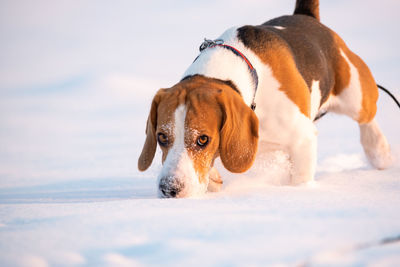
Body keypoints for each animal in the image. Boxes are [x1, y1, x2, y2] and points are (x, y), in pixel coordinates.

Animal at [138, 0, 390, 199]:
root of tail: (306, 16)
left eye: (203, 140)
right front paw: (214, 178)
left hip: (355, 93)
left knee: (367, 117)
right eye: (161, 137)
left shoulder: (303, 138)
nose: (169, 189)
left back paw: (379, 151)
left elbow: (300, 178)